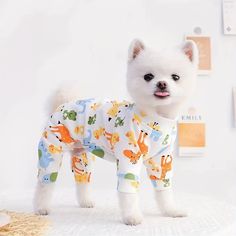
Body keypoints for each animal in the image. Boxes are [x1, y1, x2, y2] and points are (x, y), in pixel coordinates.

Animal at [34, 38, 198, 225]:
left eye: (175, 77)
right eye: (148, 76)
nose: (162, 84)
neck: (156, 117)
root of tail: (63, 103)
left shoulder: (160, 159)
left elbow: (164, 190)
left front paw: (171, 211)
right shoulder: (129, 158)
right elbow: (129, 193)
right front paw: (132, 216)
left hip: (82, 155)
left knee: (82, 180)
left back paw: (85, 202)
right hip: (51, 149)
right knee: (45, 182)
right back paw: (41, 207)